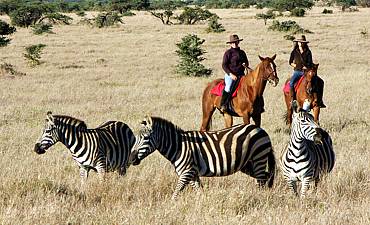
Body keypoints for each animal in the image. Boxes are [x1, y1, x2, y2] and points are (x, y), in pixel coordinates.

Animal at [130, 116, 274, 199]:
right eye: (136, 138)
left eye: (146, 138)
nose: (131, 158)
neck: (179, 147)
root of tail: (261, 130)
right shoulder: (193, 173)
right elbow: (199, 192)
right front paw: (202, 205)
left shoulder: (186, 172)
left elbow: (176, 194)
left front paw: (171, 208)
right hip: (247, 164)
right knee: (266, 177)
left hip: (258, 157)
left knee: (262, 180)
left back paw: (260, 198)